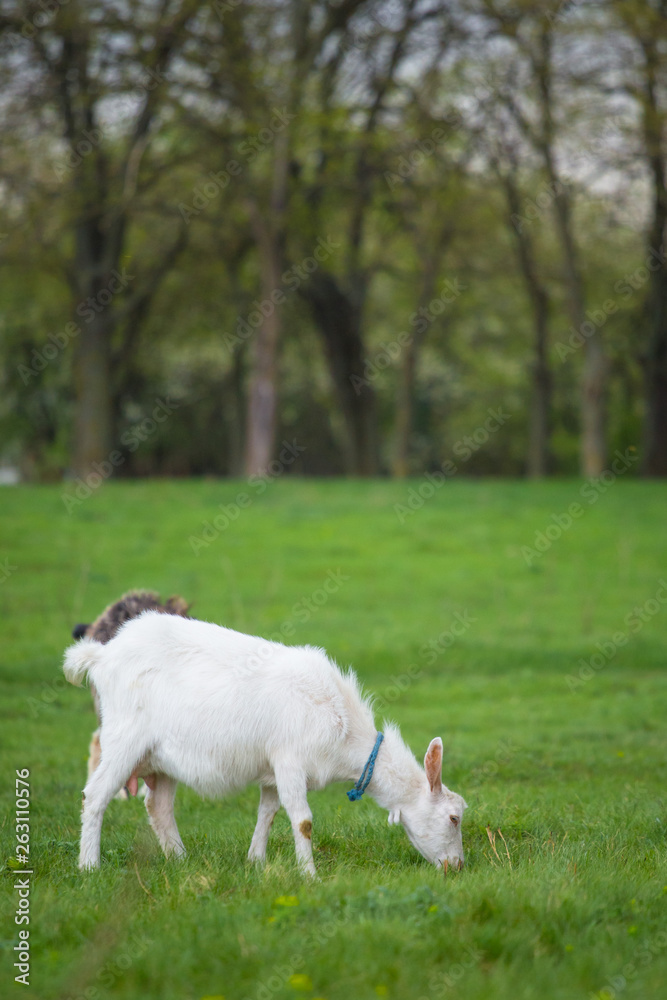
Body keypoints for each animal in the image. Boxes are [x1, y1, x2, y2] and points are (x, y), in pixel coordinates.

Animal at [64, 612, 467, 875]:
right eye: (454, 818)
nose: (458, 866)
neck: (342, 724)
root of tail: (102, 655)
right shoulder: (290, 761)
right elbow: (302, 821)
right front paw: (309, 875)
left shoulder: (274, 771)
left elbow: (268, 813)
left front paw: (255, 861)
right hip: (124, 739)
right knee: (95, 795)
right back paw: (89, 866)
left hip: (159, 759)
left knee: (158, 806)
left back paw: (179, 859)